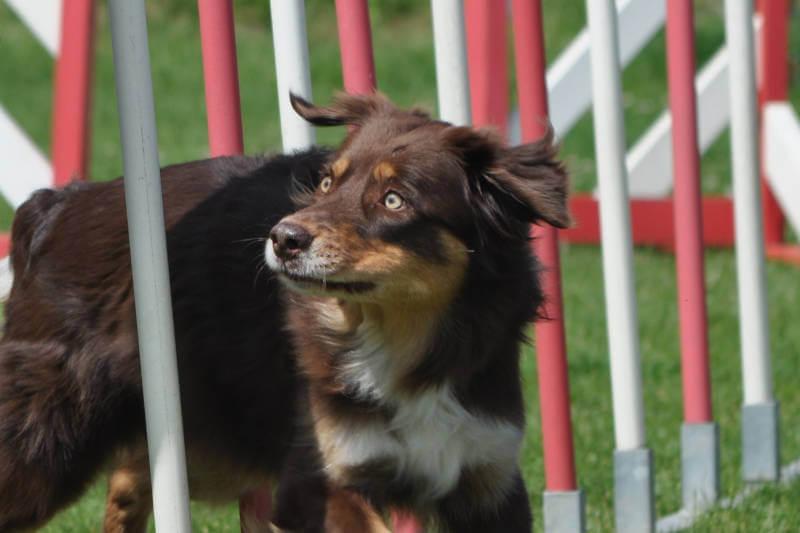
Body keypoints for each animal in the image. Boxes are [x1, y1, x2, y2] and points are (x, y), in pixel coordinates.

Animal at [0, 92, 568, 532]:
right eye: (327, 183)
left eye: (394, 200)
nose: (282, 238)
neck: (404, 343)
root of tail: (55, 205)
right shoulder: (316, 480)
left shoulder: (488, 476)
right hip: (46, 449)